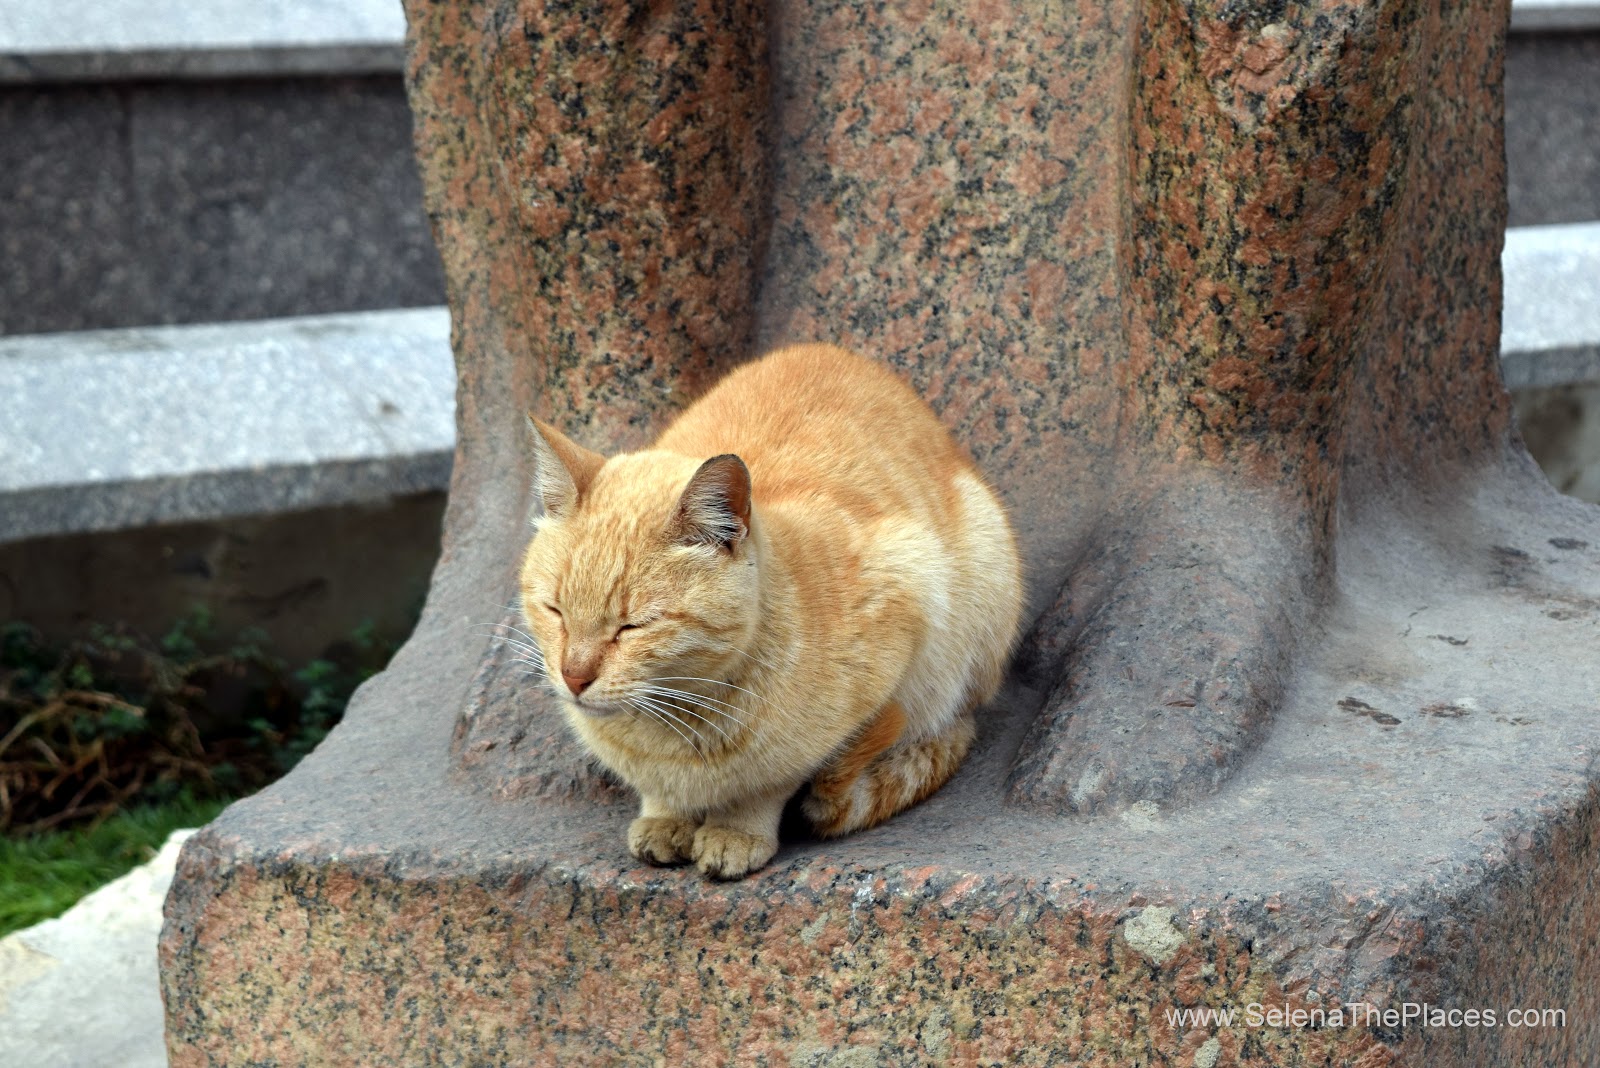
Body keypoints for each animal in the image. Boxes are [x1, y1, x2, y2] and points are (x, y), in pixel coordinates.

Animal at [518, 346, 1017, 882]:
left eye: (634, 626)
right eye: (555, 610)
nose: (573, 677)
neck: (672, 724)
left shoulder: (908, 585)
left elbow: (768, 783)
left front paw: (736, 832)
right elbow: (662, 796)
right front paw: (665, 819)